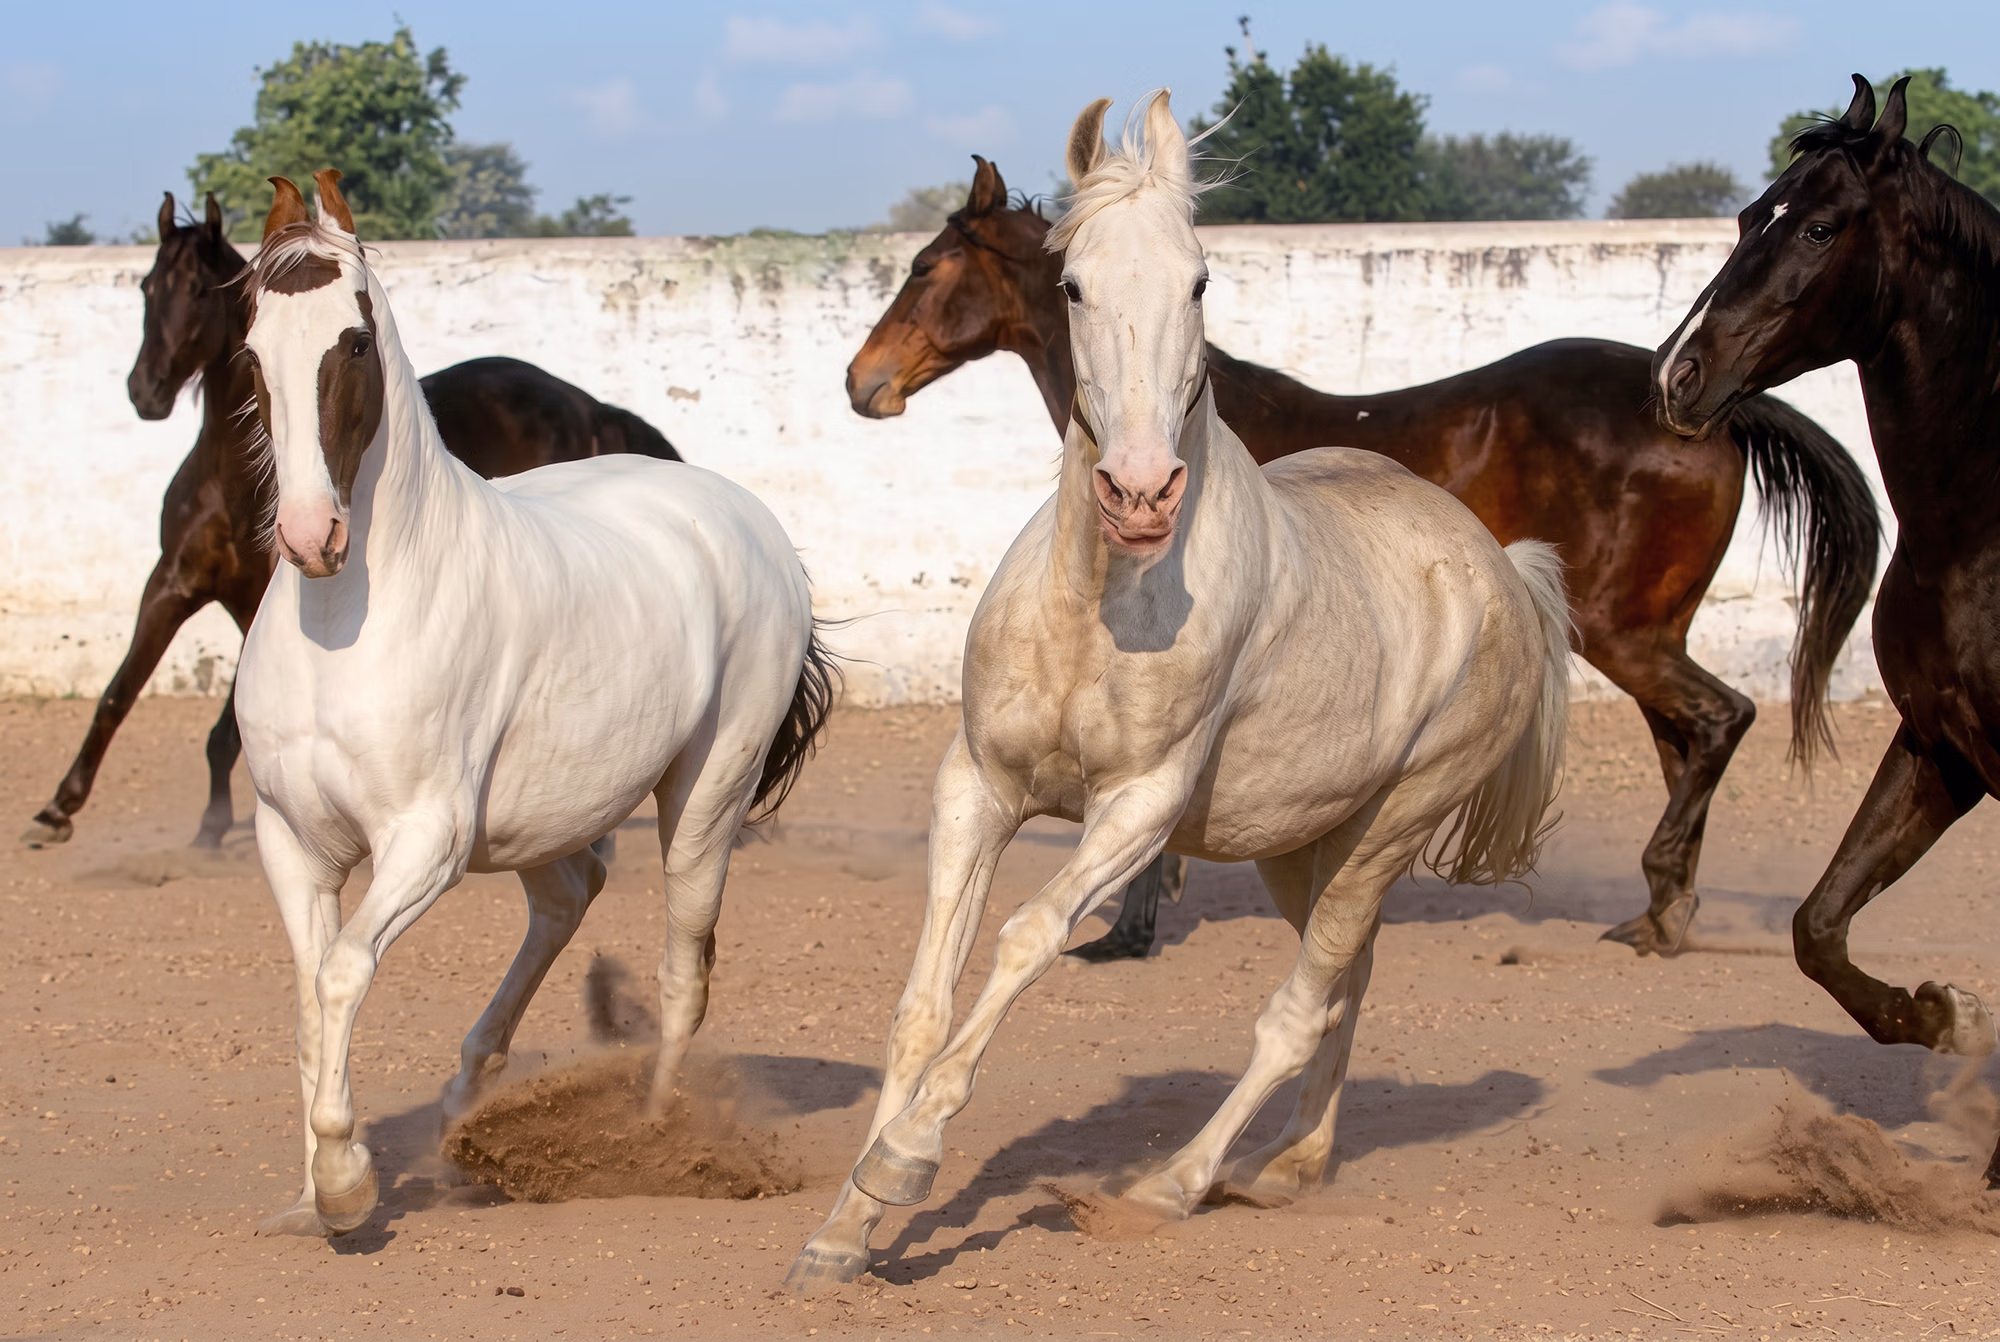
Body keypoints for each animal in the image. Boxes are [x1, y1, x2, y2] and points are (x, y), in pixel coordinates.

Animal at [20, 190, 681, 852]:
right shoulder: (174, 584)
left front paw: (213, 821)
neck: (235, 483)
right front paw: (58, 809)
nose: (146, 390)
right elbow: (116, 694)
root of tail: (583, 402)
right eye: (147, 287)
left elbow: (223, 728)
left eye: (199, 290)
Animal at [234, 170, 834, 1237]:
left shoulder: (421, 843)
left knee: (683, 973)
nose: (311, 536)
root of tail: (750, 519)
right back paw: (467, 1102)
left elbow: (343, 971)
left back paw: (651, 1139)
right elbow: (310, 997)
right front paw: (310, 1198)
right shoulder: (290, 837)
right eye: (254, 350)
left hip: (705, 799)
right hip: (543, 812)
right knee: (567, 897)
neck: (344, 629)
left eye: (353, 343)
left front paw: (347, 1184)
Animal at [787, 91, 1571, 1289]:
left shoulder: (1139, 806)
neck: (1100, 603)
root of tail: (1500, 566)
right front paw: (842, 1230)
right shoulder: (976, 784)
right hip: (1306, 844)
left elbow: (1027, 937)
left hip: (1393, 823)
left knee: (1295, 1010)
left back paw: (1173, 1184)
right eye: (1070, 282)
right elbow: (923, 1001)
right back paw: (1290, 1165)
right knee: (1342, 978)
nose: (1142, 491)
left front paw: (906, 1162)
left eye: (1200, 280)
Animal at [846, 155, 1881, 960]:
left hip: (1622, 631)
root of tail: (1713, 405)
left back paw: (1663, 903)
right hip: (1654, 631)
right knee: (1689, 739)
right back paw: (1665, 912)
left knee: (1720, 719)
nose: (863, 383)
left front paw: (1129, 930)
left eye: (927, 265)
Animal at [1654, 75, 2000, 1187]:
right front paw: (1938, 1014)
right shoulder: (1941, 747)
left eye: (1816, 227)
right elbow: (1816, 926)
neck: (1981, 528)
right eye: (1743, 217)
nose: (1675, 377)